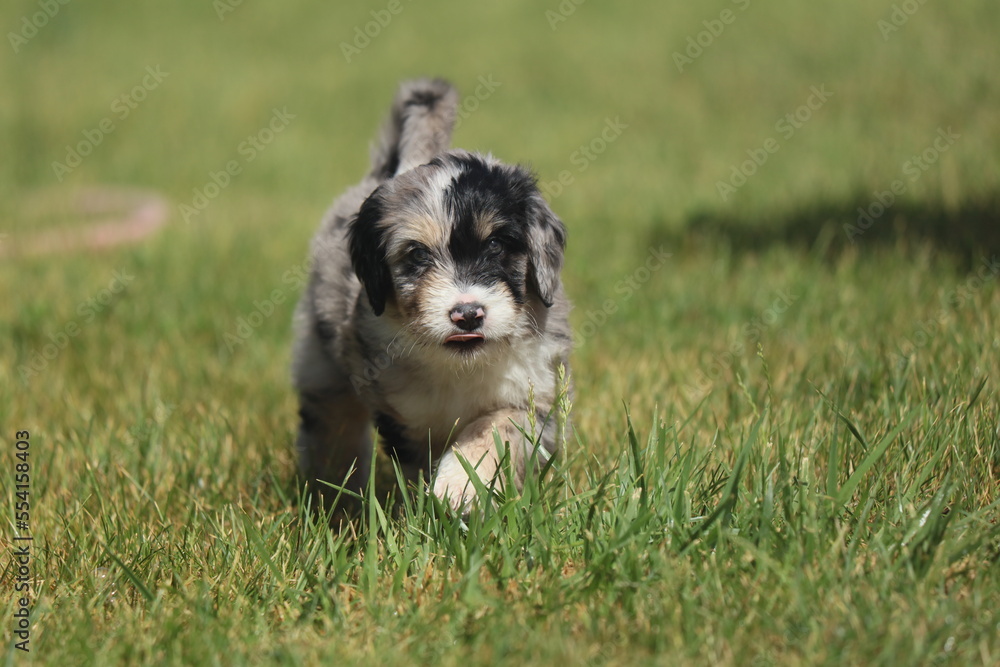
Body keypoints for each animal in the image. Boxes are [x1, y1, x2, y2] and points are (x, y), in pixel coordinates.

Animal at [292, 79, 572, 516]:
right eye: (418, 255)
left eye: (497, 245)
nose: (468, 314)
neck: (459, 369)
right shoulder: (401, 416)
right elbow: (417, 466)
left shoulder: (535, 395)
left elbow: (492, 430)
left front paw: (458, 487)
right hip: (321, 364)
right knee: (332, 421)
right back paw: (335, 494)